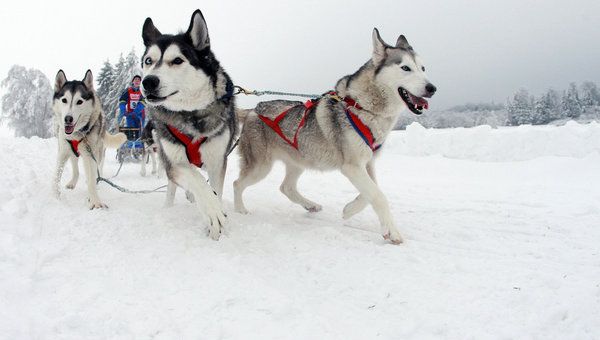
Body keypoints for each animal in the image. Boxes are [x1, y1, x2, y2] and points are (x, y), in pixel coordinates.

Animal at [141, 9, 237, 239]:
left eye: (177, 60)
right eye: (148, 60)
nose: (148, 82)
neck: (190, 114)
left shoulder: (217, 162)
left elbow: (215, 190)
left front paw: (215, 224)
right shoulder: (174, 163)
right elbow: (197, 181)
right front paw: (212, 212)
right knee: (174, 187)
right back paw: (170, 207)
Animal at [234, 27, 436, 243]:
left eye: (423, 68)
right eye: (405, 68)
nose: (432, 88)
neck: (363, 107)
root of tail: (253, 110)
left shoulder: (367, 163)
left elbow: (371, 192)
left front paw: (349, 210)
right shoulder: (352, 166)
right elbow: (379, 196)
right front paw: (392, 232)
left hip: (299, 161)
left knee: (286, 187)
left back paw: (310, 204)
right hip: (261, 167)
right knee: (237, 184)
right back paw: (240, 210)